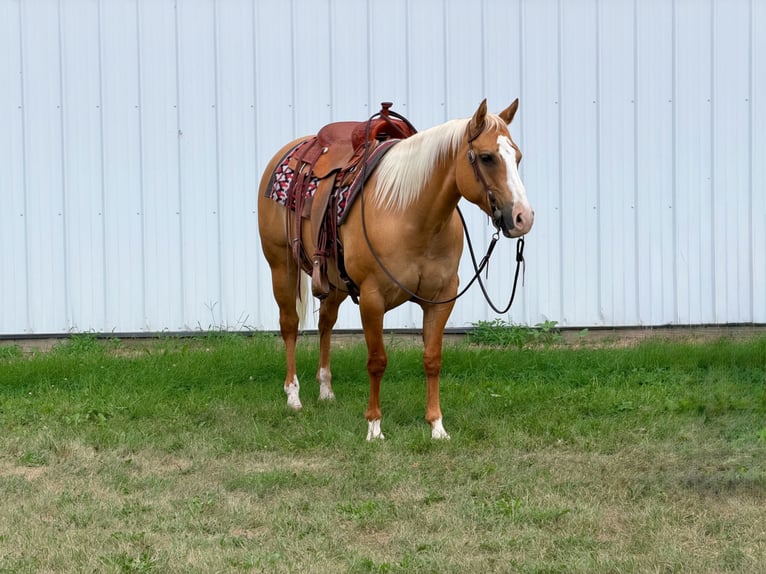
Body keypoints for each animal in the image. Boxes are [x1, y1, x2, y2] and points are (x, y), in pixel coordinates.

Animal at [257, 99, 533, 440]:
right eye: (487, 157)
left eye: (517, 157)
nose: (523, 217)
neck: (412, 216)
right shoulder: (372, 298)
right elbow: (377, 361)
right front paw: (374, 427)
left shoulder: (441, 299)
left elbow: (432, 359)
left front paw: (437, 426)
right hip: (282, 265)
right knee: (290, 325)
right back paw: (293, 396)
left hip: (333, 280)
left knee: (325, 323)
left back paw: (326, 390)